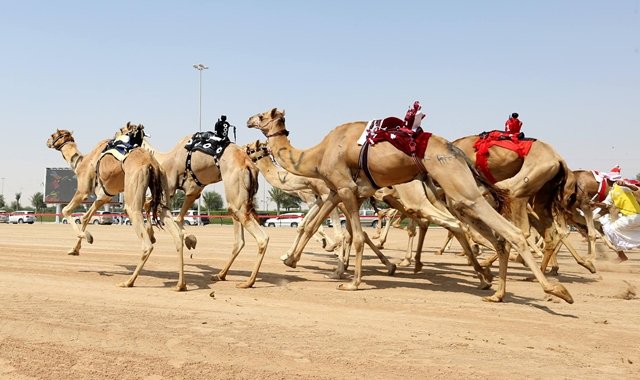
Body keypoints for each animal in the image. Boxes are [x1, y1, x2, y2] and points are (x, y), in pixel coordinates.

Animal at [44, 128, 185, 290]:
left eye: (53, 135)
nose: (47, 141)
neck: (81, 162)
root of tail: (151, 164)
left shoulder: (83, 190)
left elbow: (66, 210)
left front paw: (87, 237)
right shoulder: (104, 196)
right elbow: (86, 216)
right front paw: (75, 249)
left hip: (133, 195)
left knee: (146, 242)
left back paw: (128, 282)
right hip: (163, 188)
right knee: (176, 233)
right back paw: (180, 285)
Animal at [125, 127, 270, 288]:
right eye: (260, 148)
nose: (267, 151)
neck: (165, 157)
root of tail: (249, 166)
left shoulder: (169, 186)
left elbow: (150, 205)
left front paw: (153, 235)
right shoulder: (193, 191)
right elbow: (178, 217)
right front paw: (189, 239)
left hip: (236, 197)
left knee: (261, 237)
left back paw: (248, 282)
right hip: (239, 201)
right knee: (239, 239)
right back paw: (220, 275)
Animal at [248, 107, 572, 302]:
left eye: (262, 115)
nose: (248, 120)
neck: (315, 155)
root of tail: (455, 150)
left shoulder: (343, 187)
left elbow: (353, 236)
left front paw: (351, 281)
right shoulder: (339, 190)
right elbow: (318, 224)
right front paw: (294, 260)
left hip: (457, 183)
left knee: (510, 231)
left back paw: (554, 288)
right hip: (455, 191)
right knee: (490, 232)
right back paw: (493, 288)